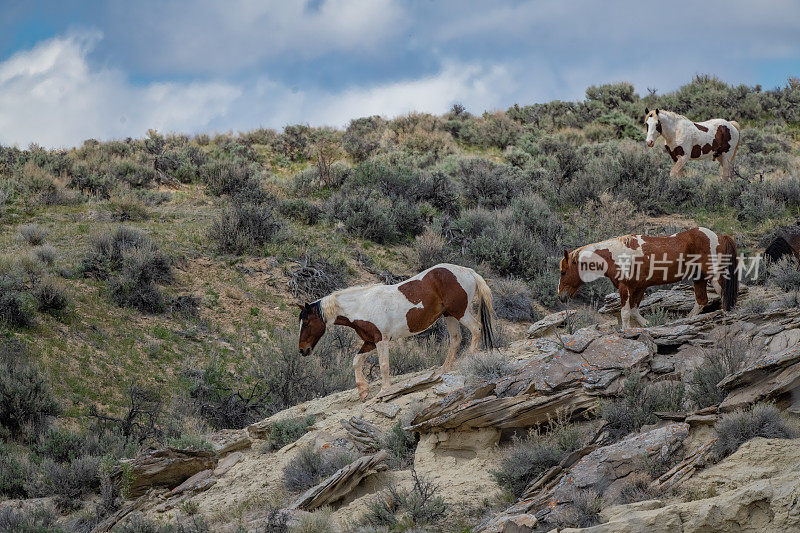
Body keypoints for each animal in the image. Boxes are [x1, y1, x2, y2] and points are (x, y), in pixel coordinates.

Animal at [298, 262, 494, 400]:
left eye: (306, 322)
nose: (302, 350)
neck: (363, 305)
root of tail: (468, 271)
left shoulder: (381, 340)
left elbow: (384, 365)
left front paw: (383, 390)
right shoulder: (370, 341)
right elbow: (356, 361)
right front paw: (363, 390)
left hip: (459, 311)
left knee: (476, 328)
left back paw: (472, 357)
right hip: (449, 314)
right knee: (455, 338)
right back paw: (444, 368)